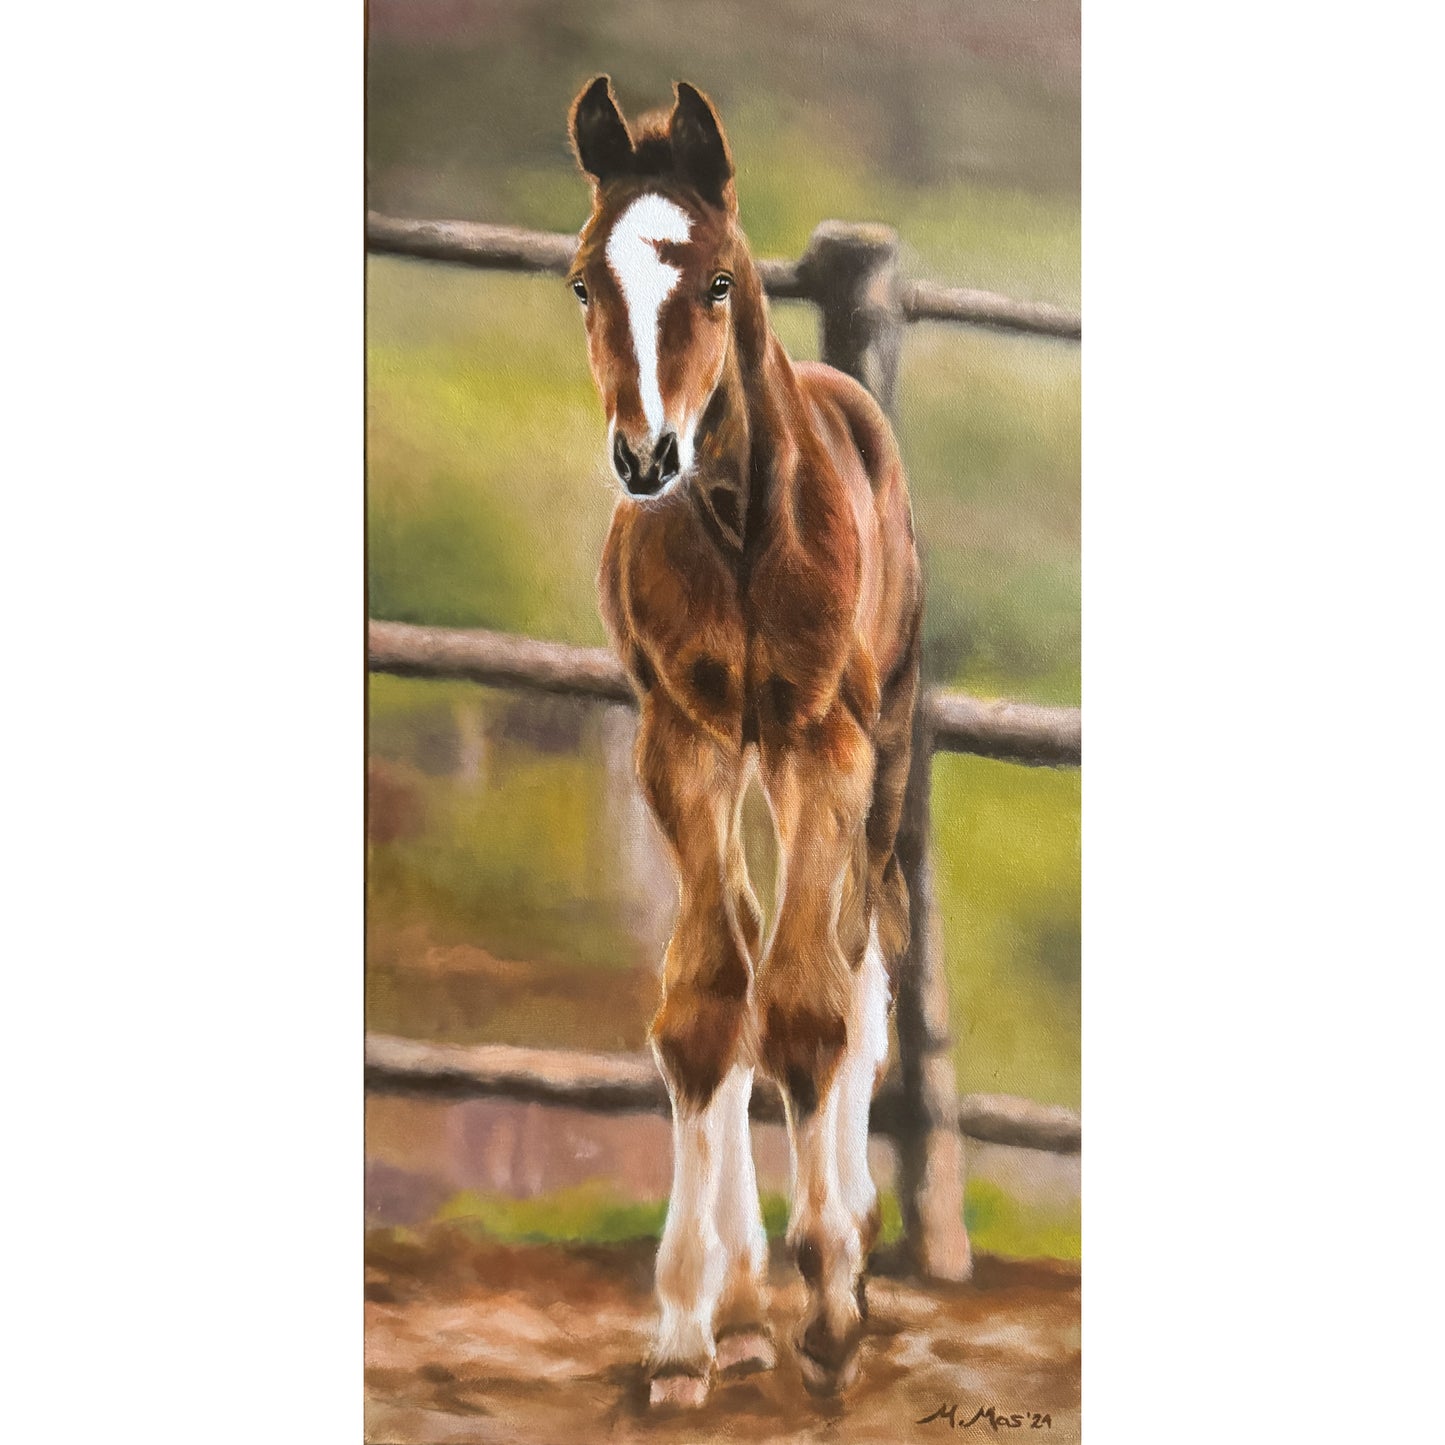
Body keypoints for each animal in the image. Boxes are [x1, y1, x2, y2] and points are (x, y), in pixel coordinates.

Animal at [566, 76, 922, 1404]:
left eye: (717, 280)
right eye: (584, 282)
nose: (644, 455)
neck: (734, 524)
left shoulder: (822, 740)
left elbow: (812, 1007)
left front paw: (830, 1308)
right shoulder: (681, 737)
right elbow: (706, 1007)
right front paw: (682, 1323)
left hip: (878, 744)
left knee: (860, 957)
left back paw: (846, 1239)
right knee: (756, 951)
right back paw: (737, 1280)